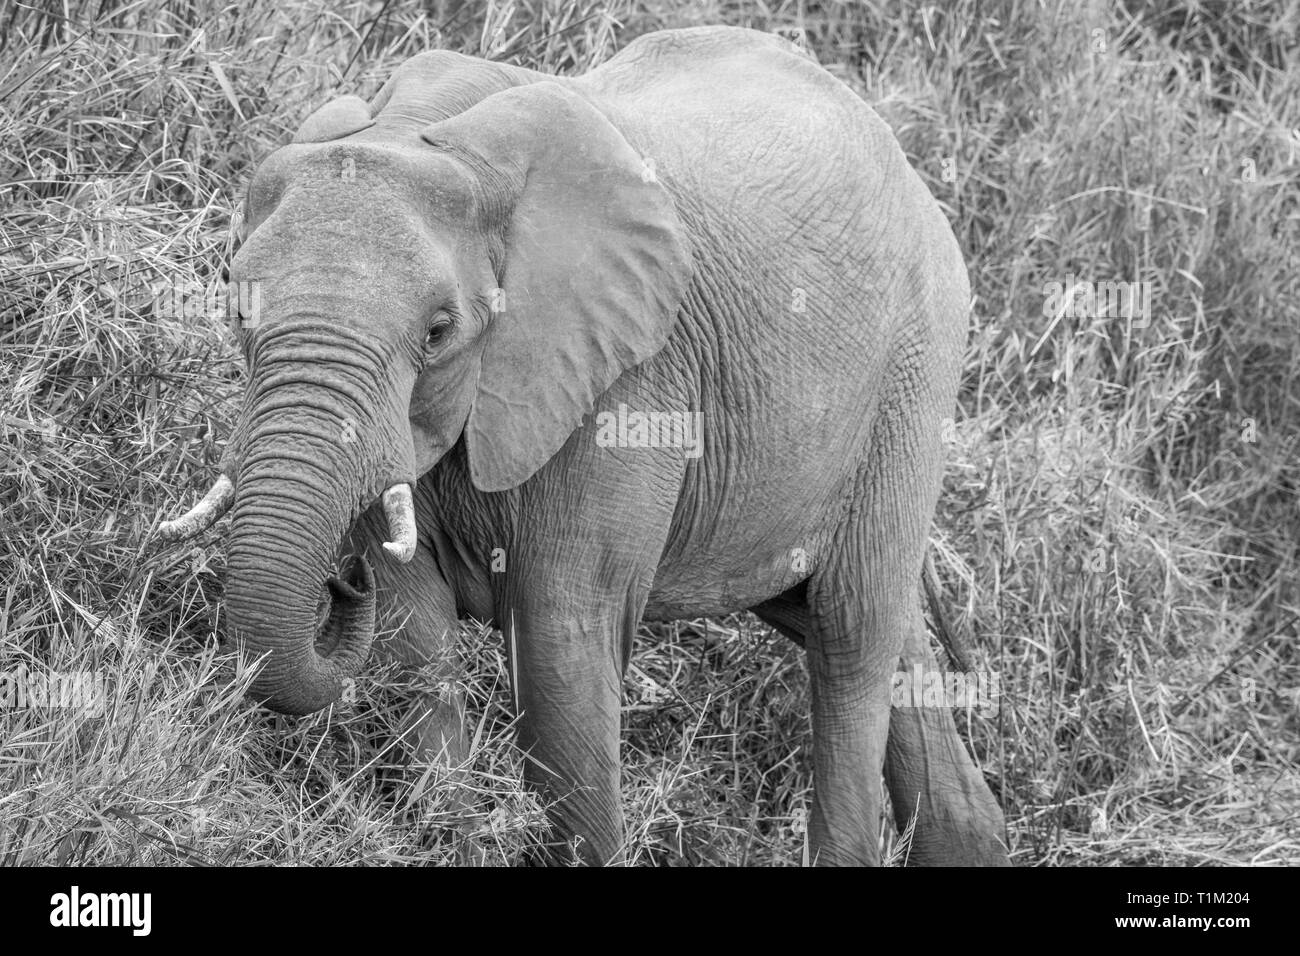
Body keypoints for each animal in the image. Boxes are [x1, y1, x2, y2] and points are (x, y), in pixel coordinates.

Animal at [152, 27, 1003, 868]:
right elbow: (412, 626)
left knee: (849, 633)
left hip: (913, 381)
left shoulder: (630, 380)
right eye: (234, 304)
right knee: (866, 631)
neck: (427, 132)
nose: (341, 583)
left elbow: (562, 641)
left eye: (438, 332)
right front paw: (448, 834)